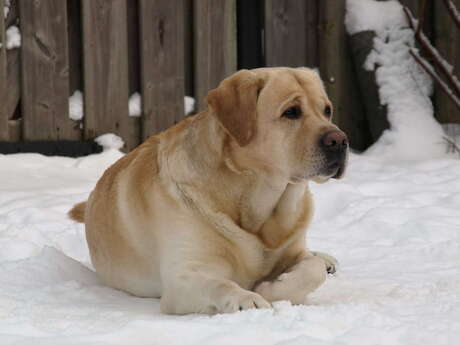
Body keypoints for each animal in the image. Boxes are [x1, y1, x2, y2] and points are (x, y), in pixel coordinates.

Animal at [69, 67, 348, 314]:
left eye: (327, 110)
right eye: (291, 112)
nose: (340, 141)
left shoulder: (293, 249)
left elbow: (312, 269)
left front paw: (272, 286)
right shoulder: (183, 278)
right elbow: (220, 283)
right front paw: (249, 298)